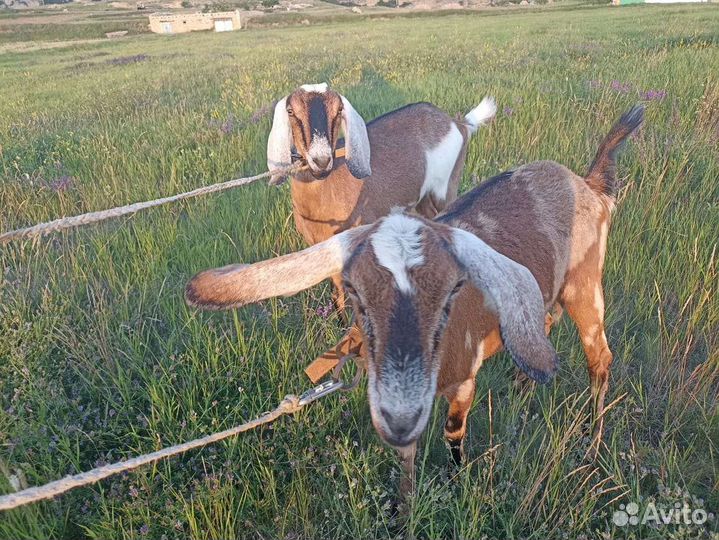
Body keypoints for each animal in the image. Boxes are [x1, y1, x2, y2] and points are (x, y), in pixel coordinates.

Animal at [267, 82, 496, 312]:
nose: (321, 161)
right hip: (424, 199)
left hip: (447, 187)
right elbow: (339, 295)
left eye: (338, 110)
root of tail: (459, 124)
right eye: (290, 111)